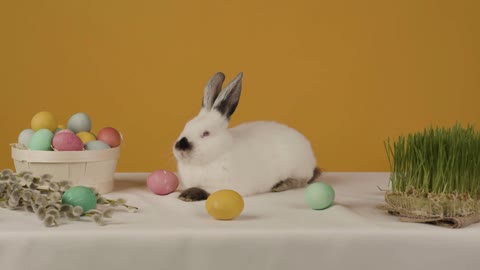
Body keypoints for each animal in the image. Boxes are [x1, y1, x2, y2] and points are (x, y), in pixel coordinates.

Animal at [172, 71, 318, 200]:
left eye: (206, 133)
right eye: (186, 126)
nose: (180, 148)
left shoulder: (226, 186)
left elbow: (207, 191)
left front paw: (187, 195)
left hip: (298, 169)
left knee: (302, 181)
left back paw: (281, 185)